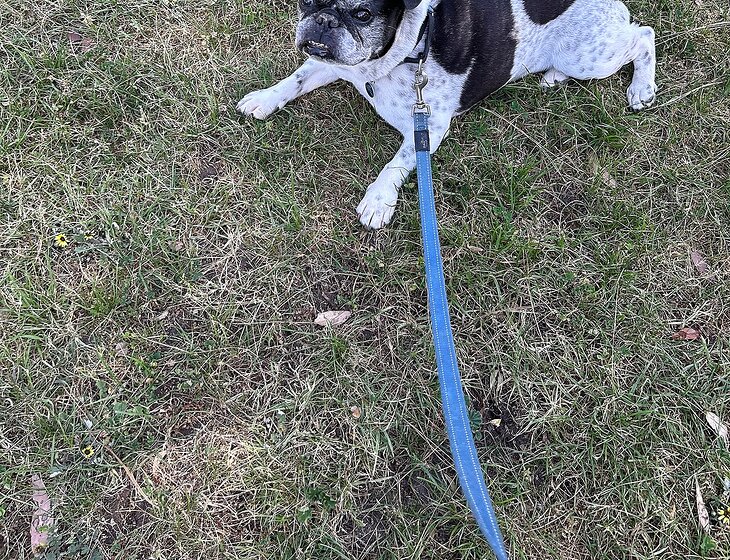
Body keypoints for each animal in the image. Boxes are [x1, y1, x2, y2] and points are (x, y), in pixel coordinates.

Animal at [237, 0, 657, 229]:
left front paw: (378, 198)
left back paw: (641, 87)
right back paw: (554, 77)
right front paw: (264, 98)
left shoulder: (429, 126)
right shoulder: (335, 63)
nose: (324, 20)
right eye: (308, 1)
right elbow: (297, 77)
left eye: (362, 13)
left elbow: (397, 162)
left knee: (643, 35)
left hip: (589, 56)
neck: (407, 46)